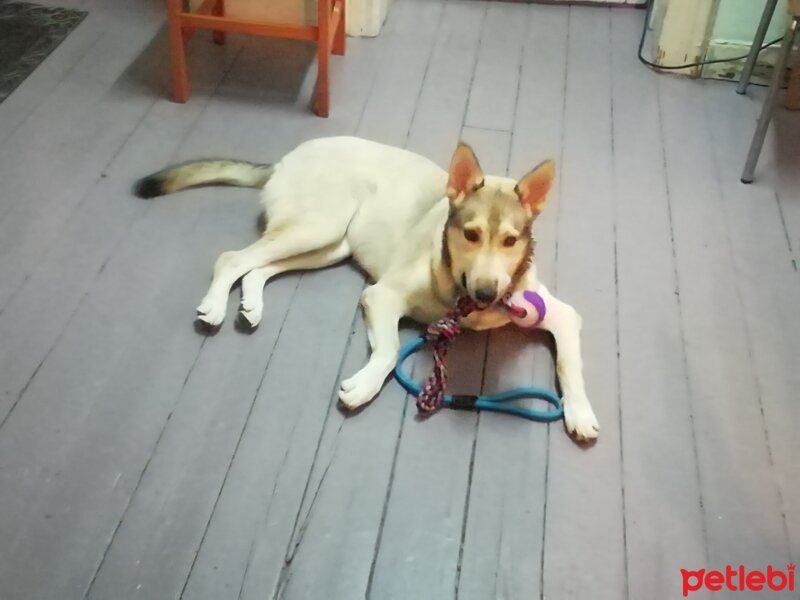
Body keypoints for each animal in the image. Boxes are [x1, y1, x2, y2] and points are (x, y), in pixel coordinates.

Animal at [134, 138, 596, 442]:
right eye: (470, 234)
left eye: (511, 241)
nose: (486, 293)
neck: (464, 299)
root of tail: (289, 155)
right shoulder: (381, 296)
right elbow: (389, 351)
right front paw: (364, 385)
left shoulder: (562, 315)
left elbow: (569, 365)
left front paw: (580, 412)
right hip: (318, 227)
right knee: (231, 258)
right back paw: (213, 307)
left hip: (329, 244)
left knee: (258, 268)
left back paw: (250, 305)